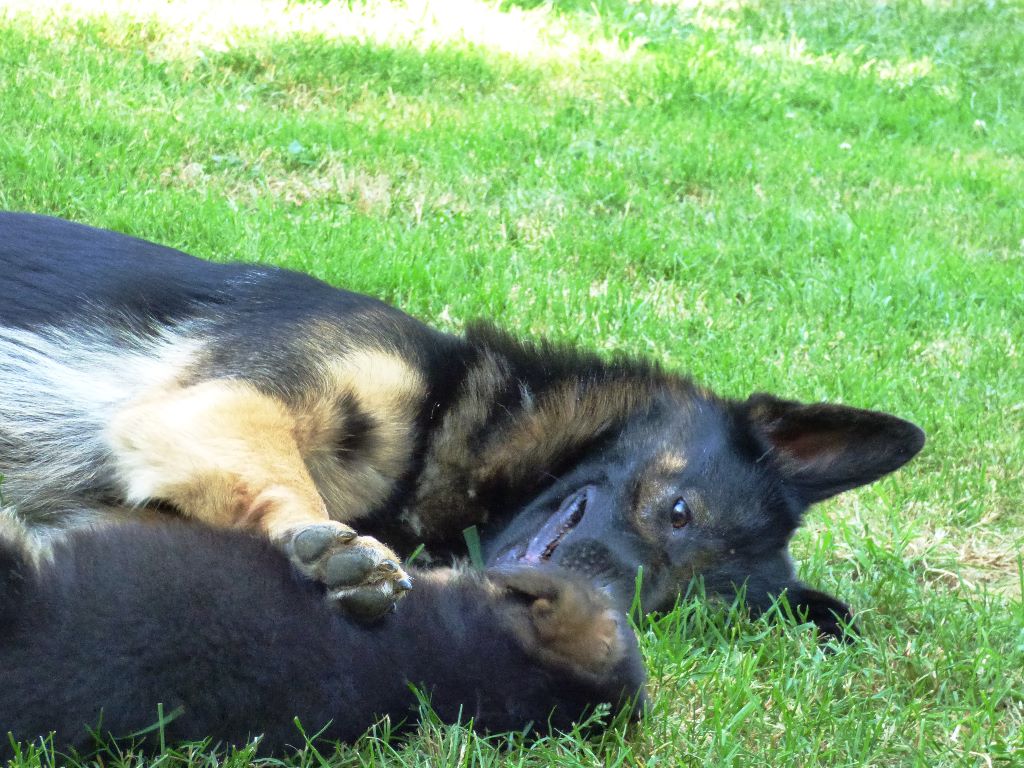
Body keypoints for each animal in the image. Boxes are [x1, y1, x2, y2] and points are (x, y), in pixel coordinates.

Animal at [0, 214, 925, 634]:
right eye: (677, 512)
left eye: (674, 607)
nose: (601, 615)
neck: (445, 416)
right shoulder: (221, 402)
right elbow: (287, 481)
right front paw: (327, 545)